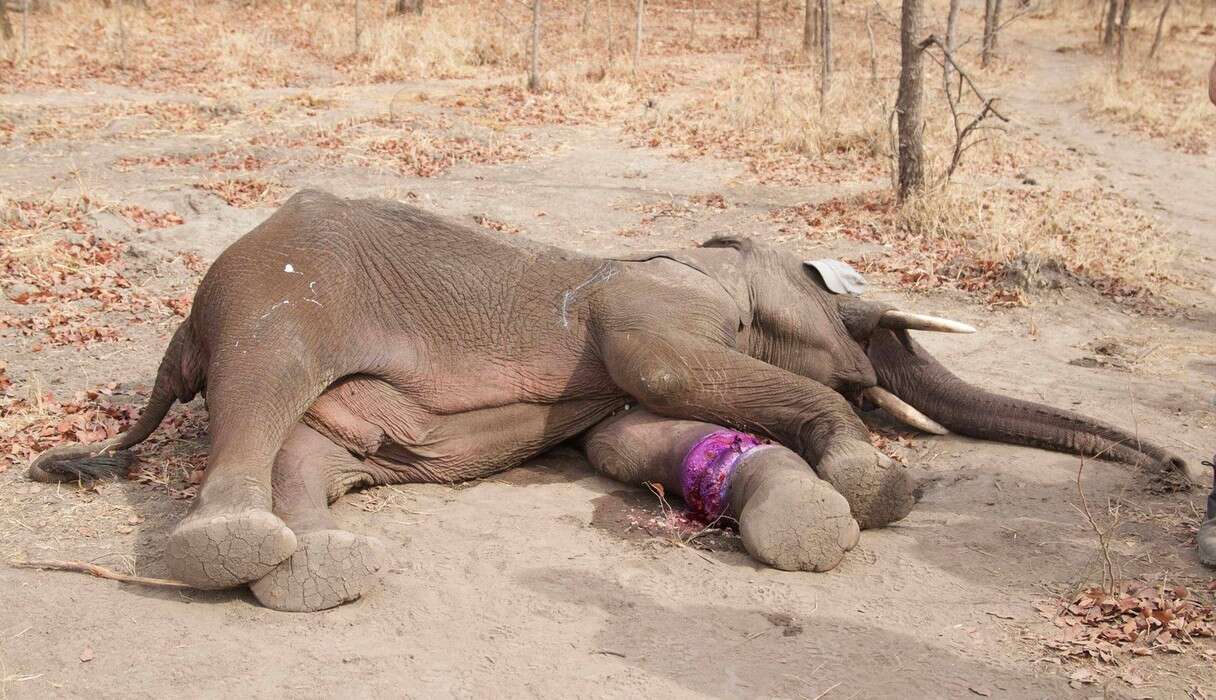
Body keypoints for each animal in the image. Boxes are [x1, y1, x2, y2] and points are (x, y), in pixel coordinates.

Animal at [28, 189, 1194, 612]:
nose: (1181, 468)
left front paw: (818, 508)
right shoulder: (647, 305)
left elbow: (640, 432)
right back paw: (234, 543)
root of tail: (186, 322)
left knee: (312, 456)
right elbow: (665, 377)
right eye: (860, 323)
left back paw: (319, 569)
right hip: (278, 292)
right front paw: (877, 488)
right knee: (263, 391)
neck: (705, 248)